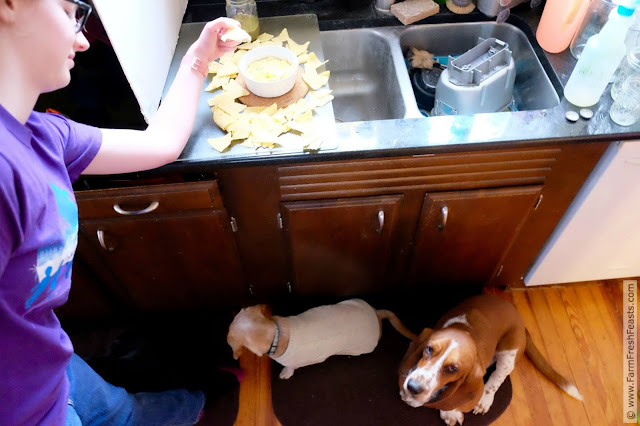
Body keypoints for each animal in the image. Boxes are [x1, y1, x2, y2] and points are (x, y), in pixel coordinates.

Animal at [227, 298, 416, 379]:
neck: (276, 333)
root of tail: (376, 315)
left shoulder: (292, 363)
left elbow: (290, 368)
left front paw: (285, 373)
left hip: (360, 349)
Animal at [398, 294, 582, 425]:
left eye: (453, 369)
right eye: (429, 349)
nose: (412, 387)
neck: (464, 329)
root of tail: (521, 323)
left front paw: (450, 411)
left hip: (509, 354)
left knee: (497, 377)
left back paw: (484, 399)